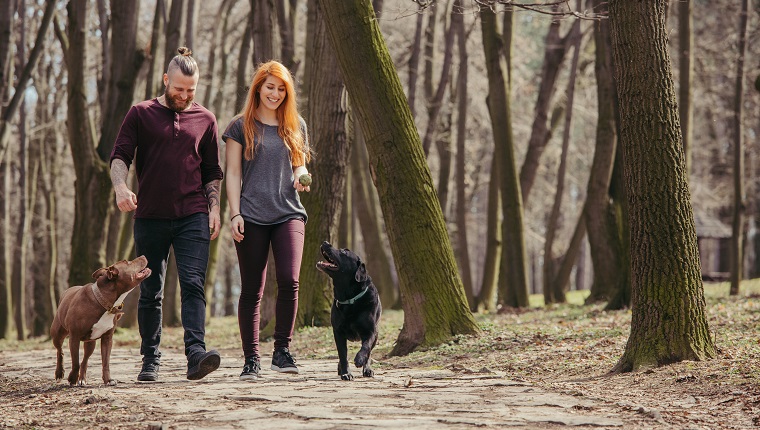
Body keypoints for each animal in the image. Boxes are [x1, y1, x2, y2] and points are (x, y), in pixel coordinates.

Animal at [50, 255, 151, 386]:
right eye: (127, 262)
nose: (143, 256)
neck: (104, 301)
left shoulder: (107, 338)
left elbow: (105, 362)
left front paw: (108, 380)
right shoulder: (74, 337)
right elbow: (75, 361)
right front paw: (72, 378)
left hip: (90, 342)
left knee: (85, 359)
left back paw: (82, 379)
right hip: (57, 334)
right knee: (60, 350)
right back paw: (59, 373)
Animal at [318, 242, 382, 380]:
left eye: (344, 252)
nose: (326, 242)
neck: (349, 298)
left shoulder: (370, 331)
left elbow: (366, 347)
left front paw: (360, 359)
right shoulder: (338, 332)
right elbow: (343, 354)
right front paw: (346, 373)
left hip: (376, 334)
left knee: (369, 350)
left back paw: (367, 369)